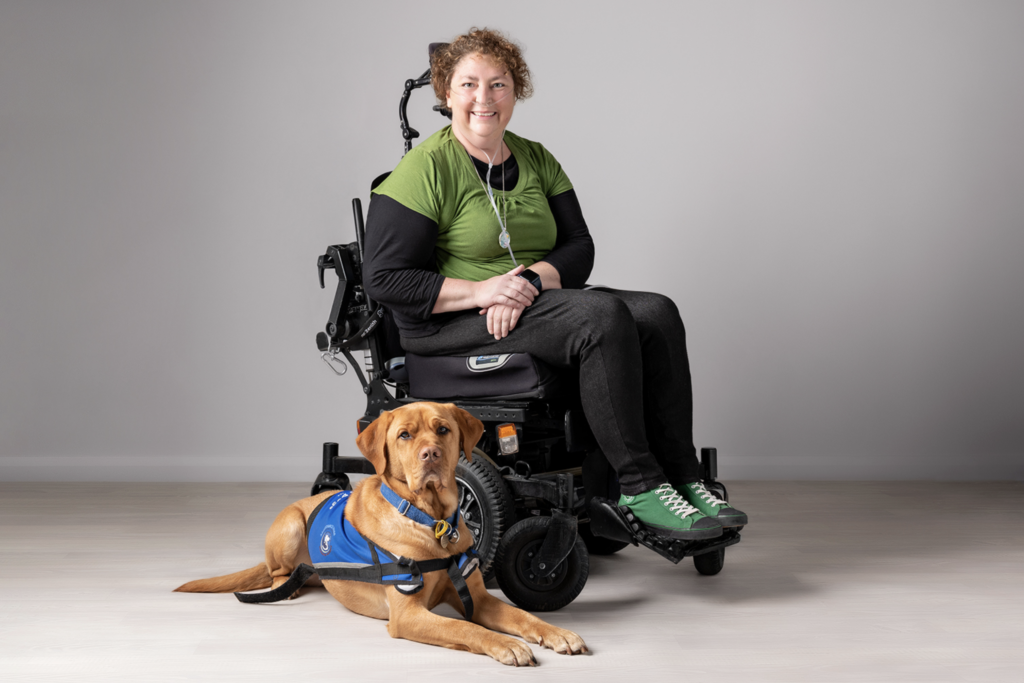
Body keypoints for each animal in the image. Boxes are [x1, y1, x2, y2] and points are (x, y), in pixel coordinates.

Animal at [176, 401, 589, 667]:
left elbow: (524, 617)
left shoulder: (479, 598)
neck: (432, 521)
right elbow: (466, 629)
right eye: (404, 435)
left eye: (443, 429)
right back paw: (289, 585)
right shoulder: (407, 615)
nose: (430, 454)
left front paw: (558, 633)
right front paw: (505, 644)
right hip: (291, 524)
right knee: (278, 572)